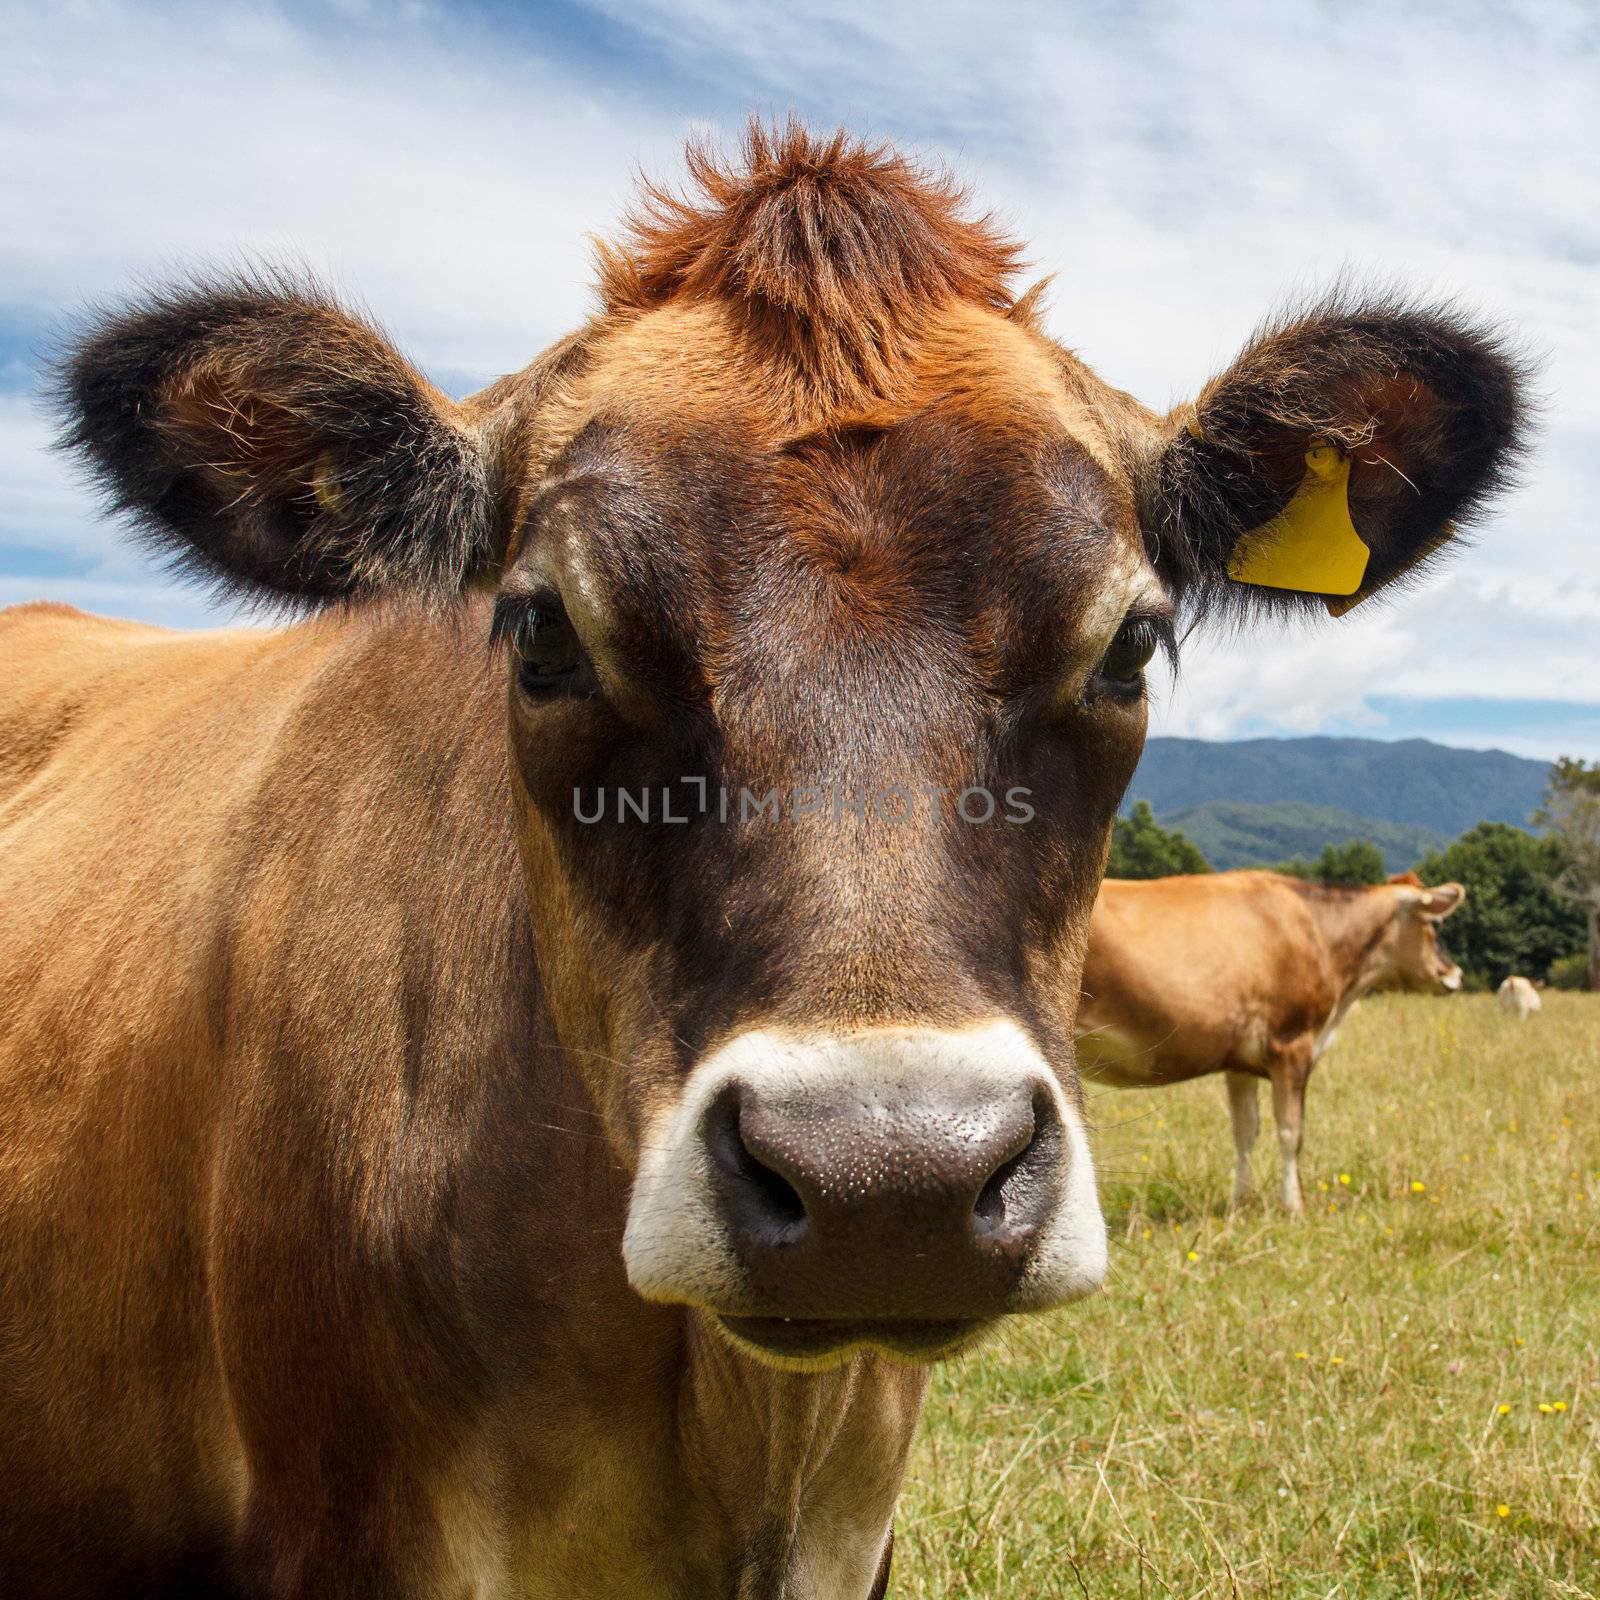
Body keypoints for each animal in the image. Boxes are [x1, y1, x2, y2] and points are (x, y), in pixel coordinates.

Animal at [1075, 870, 1465, 1203]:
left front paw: (1239, 1202)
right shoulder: (1291, 1044)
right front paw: (1293, 1205)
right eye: (1434, 924)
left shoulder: (1239, 1062)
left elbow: (1245, 1132)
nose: (1455, 973)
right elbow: (1291, 1131)